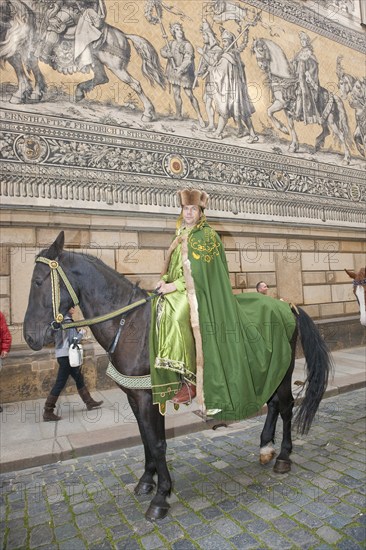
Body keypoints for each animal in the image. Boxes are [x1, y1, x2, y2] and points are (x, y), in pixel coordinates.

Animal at [0, 0, 164, 121]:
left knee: (135, 84)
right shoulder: (27, 50)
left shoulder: (18, 48)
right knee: (102, 78)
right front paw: (36, 92)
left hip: (116, 66)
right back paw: (79, 92)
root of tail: (123, 35)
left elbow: (18, 67)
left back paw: (148, 114)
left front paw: (20, 94)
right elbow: (31, 67)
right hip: (97, 61)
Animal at [22, 232, 332, 520]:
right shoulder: (137, 396)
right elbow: (146, 438)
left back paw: (283, 456)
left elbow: (157, 443)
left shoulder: (149, 395)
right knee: (273, 403)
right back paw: (266, 447)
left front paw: (161, 496)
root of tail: (286, 304)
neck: (129, 325)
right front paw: (147, 481)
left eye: (37, 282)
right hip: (267, 370)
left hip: (284, 368)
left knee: (286, 406)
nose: (29, 337)